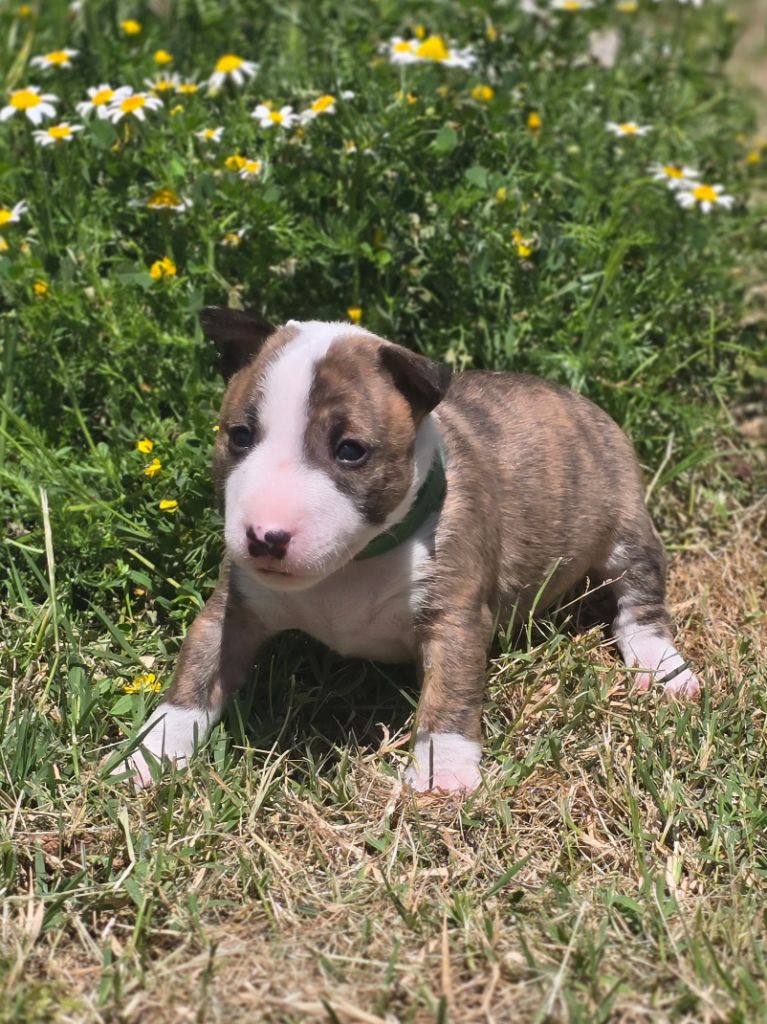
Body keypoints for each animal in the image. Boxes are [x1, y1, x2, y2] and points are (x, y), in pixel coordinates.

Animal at [121, 308, 700, 792]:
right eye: (240, 436)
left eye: (350, 451)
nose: (266, 536)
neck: (353, 564)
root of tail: (578, 399)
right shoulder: (234, 606)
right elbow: (198, 670)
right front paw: (154, 750)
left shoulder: (456, 611)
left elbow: (452, 687)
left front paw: (443, 769)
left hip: (625, 522)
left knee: (639, 597)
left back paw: (661, 665)